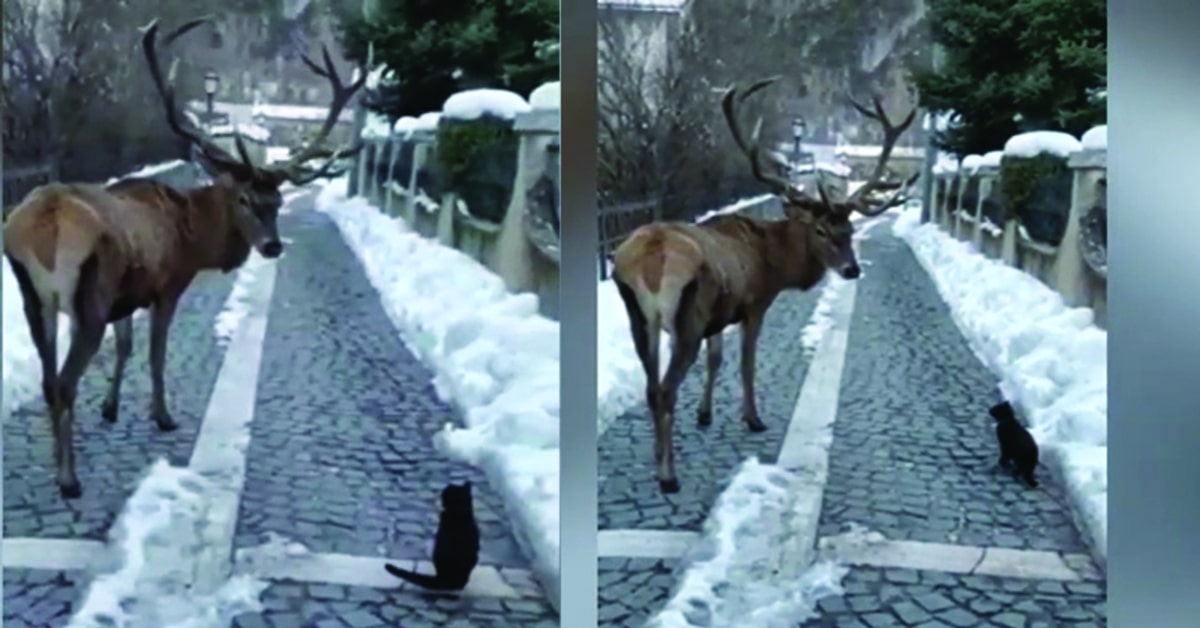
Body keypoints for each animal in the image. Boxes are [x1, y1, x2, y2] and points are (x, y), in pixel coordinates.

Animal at [614, 76, 912, 494]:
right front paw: (753, 418)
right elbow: (746, 362)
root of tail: (649, 259)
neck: (772, 261)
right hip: (686, 318)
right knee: (666, 389)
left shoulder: (717, 316)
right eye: (821, 230)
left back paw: (658, 456)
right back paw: (668, 475)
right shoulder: (754, 303)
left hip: (640, 317)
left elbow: (716, 359)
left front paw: (704, 414)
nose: (852, 269)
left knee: (651, 387)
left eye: (850, 230)